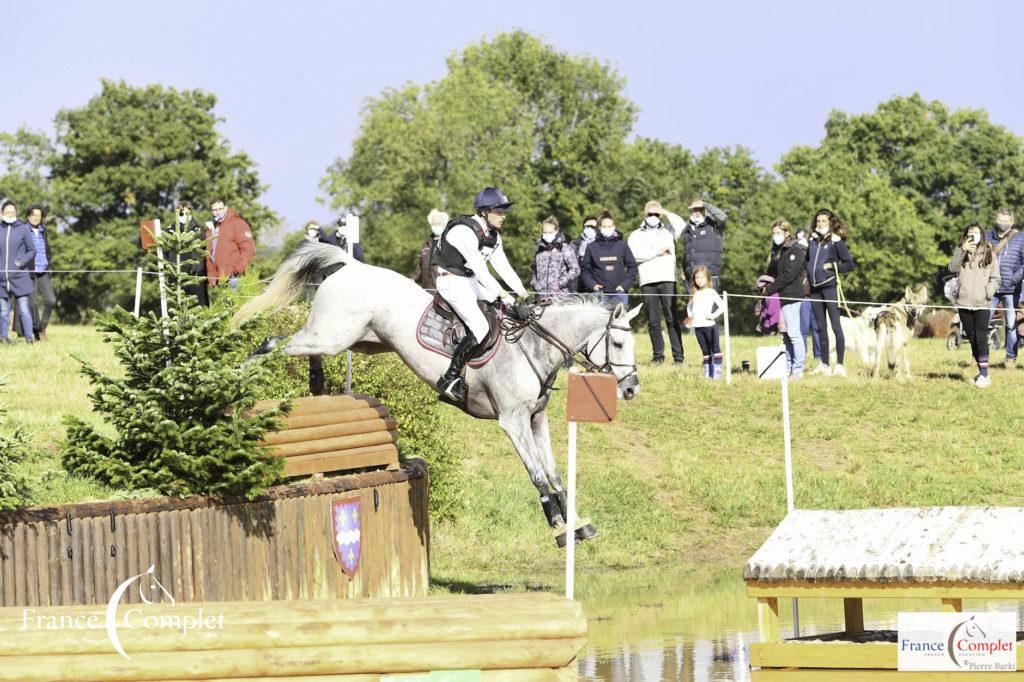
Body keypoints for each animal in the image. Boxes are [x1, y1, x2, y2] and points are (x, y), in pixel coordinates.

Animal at [238, 241, 638, 544]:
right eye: (618, 343)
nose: (632, 388)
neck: (533, 347)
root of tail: (352, 266)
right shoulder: (513, 421)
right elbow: (537, 474)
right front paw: (558, 528)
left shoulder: (536, 419)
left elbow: (554, 474)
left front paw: (577, 525)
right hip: (331, 334)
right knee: (273, 343)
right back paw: (240, 376)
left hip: (359, 340)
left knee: (300, 348)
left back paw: (312, 382)